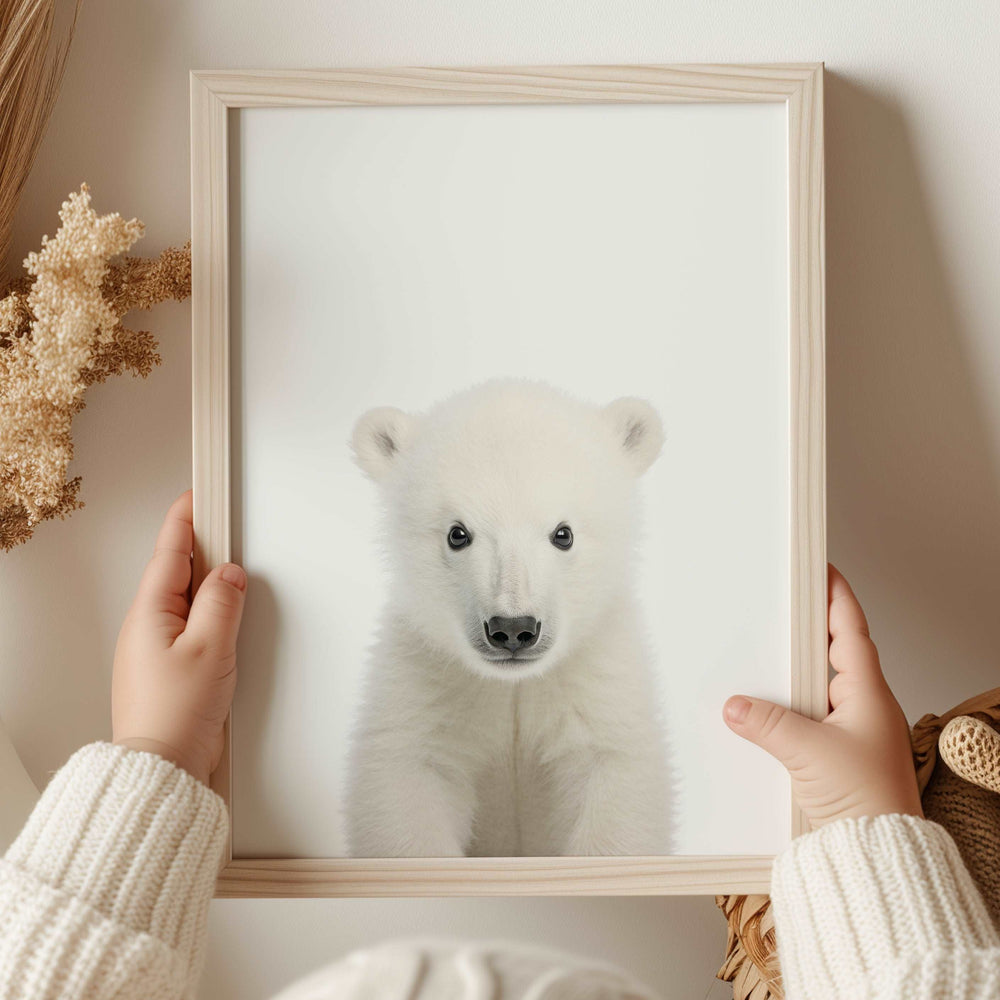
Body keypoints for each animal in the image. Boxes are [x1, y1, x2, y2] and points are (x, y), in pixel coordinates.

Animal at [346, 378, 672, 856]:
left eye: (563, 533)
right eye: (457, 533)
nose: (514, 628)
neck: (512, 687)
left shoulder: (596, 678)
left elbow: (609, 777)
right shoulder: (425, 679)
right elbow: (411, 784)